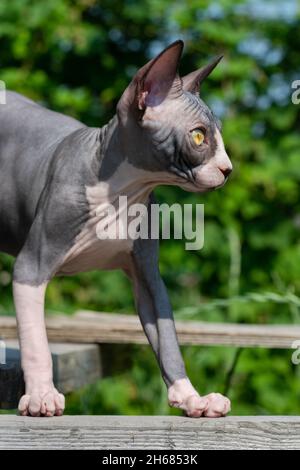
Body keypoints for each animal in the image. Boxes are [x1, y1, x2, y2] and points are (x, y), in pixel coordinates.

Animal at [0, 39, 232, 414]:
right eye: (199, 137)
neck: (121, 193)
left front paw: (191, 398)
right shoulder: (30, 267)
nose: (228, 169)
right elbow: (36, 342)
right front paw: (41, 395)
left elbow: (168, 340)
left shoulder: (148, 275)